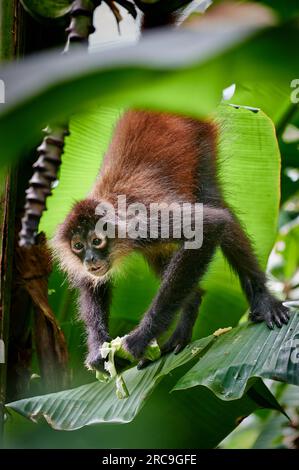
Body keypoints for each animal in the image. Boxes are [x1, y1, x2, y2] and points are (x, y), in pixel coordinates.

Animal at [52, 7, 290, 370]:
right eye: (78, 246)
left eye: (97, 241)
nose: (91, 258)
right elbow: (90, 283)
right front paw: (98, 349)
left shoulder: (140, 222)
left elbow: (210, 223)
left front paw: (138, 340)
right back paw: (188, 314)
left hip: (201, 136)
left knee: (216, 206)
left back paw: (261, 299)